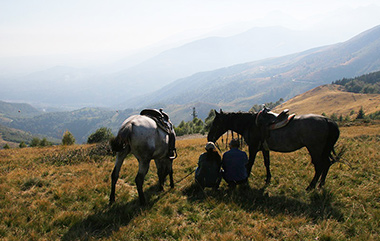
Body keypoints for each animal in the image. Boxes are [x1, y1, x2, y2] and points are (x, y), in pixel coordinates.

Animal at [208, 110, 342, 191]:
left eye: (215, 124)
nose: (209, 137)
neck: (250, 124)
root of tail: (327, 120)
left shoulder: (253, 148)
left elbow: (250, 164)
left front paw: (245, 181)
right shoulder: (264, 148)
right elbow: (267, 163)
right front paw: (268, 179)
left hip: (315, 149)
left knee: (319, 166)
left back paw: (311, 186)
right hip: (323, 150)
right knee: (327, 164)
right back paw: (320, 184)